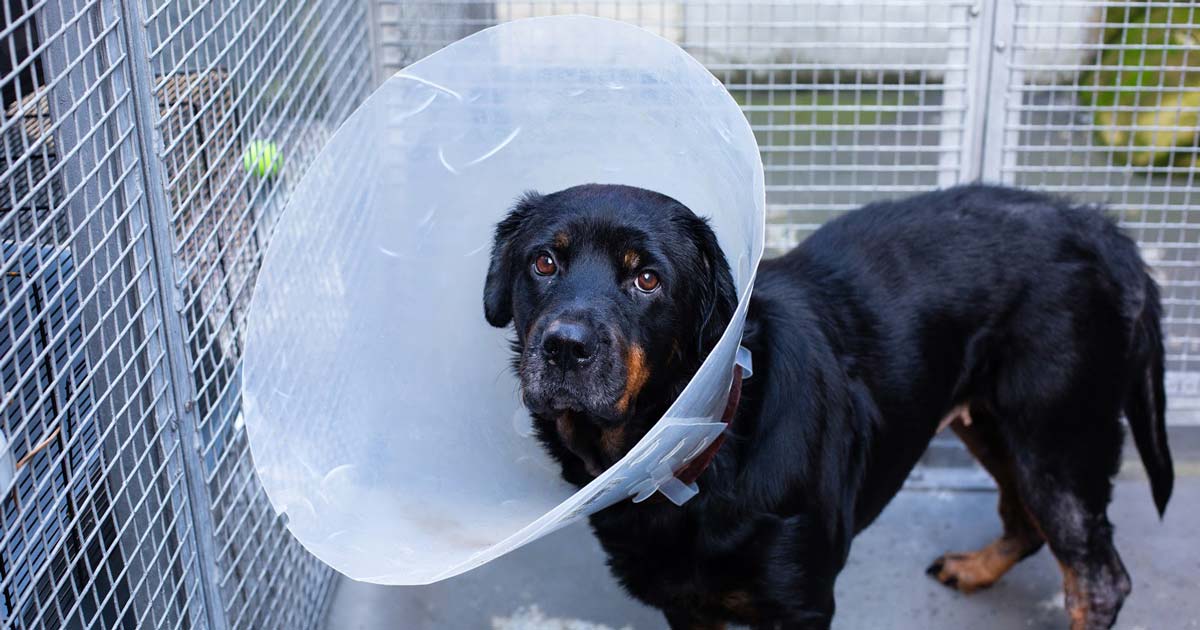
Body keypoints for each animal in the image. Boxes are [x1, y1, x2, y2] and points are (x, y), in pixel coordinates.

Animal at [480, 182, 1171, 628]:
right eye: (543, 262)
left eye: (647, 279)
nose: (565, 347)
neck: (710, 439)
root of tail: (1104, 231)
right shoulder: (688, 604)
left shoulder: (802, 604)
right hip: (998, 425)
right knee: (1027, 523)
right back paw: (976, 568)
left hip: (1056, 436)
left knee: (1097, 578)